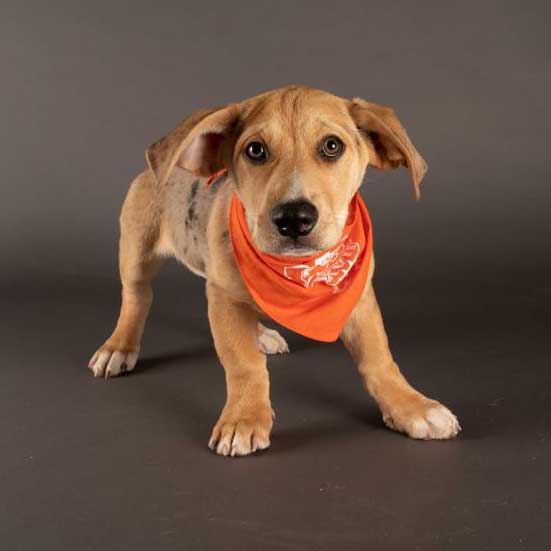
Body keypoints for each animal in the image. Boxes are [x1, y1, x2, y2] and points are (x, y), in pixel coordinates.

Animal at [89, 86, 462, 458]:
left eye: (332, 146)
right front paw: (244, 418)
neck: (299, 271)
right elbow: (244, 363)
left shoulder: (358, 296)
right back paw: (119, 347)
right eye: (255, 150)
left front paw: (411, 406)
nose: (294, 218)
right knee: (137, 297)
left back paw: (261, 333)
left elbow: (379, 357)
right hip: (137, 249)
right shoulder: (223, 296)